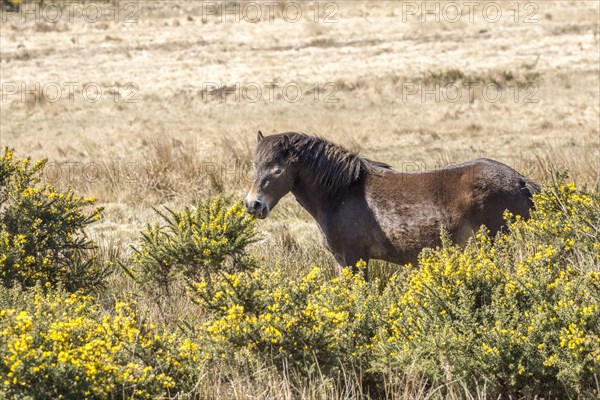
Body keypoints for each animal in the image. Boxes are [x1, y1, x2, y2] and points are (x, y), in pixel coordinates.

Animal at [244, 131, 540, 278]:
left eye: (278, 170)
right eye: (254, 165)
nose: (253, 205)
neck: (342, 193)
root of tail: (520, 181)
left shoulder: (354, 258)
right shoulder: (341, 261)